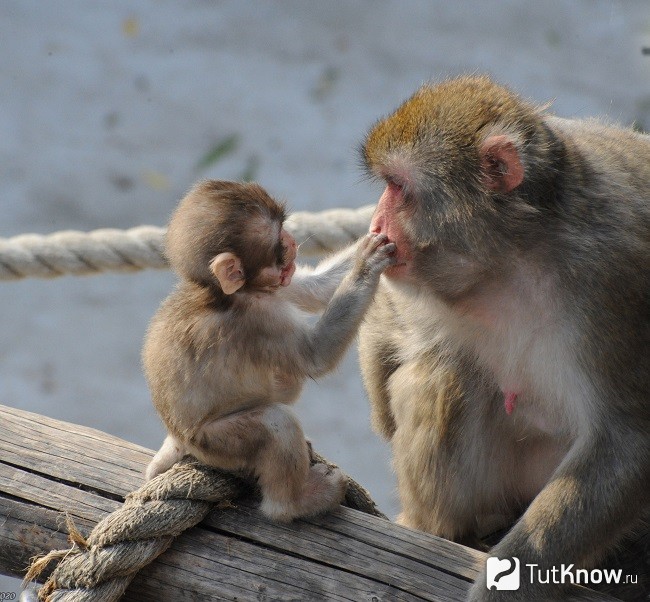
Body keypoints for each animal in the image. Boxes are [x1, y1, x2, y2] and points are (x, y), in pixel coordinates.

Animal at [143, 180, 396, 522]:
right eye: (278, 242)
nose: (291, 241)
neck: (226, 294)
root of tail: (178, 436)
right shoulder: (261, 319)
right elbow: (314, 356)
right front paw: (367, 265)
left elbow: (315, 289)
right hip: (216, 443)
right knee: (277, 422)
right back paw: (293, 503)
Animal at [358, 76, 649, 601]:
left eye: (399, 187)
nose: (375, 224)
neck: (515, 256)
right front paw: (380, 406)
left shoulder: (612, 281)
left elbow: (626, 441)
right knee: (444, 373)